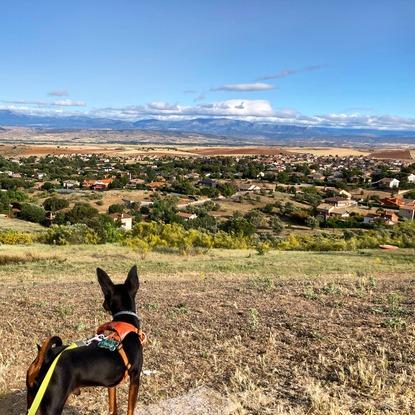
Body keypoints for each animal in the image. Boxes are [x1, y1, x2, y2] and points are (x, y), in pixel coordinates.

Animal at [26, 266, 145, 415]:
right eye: (105, 294)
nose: (103, 304)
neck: (125, 322)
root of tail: (46, 358)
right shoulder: (135, 377)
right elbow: (130, 409)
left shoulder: (112, 384)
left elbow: (113, 407)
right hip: (53, 405)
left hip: (33, 401)